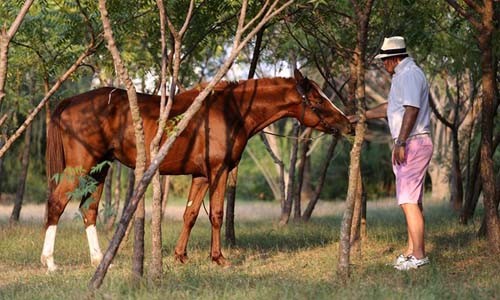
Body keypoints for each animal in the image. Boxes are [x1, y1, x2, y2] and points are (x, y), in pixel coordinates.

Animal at [41, 69, 350, 270]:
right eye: (318, 100)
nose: (348, 123)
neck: (230, 111)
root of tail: (70, 102)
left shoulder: (200, 175)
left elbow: (190, 214)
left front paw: (180, 256)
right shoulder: (219, 171)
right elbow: (216, 214)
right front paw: (219, 258)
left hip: (99, 171)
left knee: (88, 210)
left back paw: (99, 260)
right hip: (80, 168)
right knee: (57, 203)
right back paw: (50, 262)